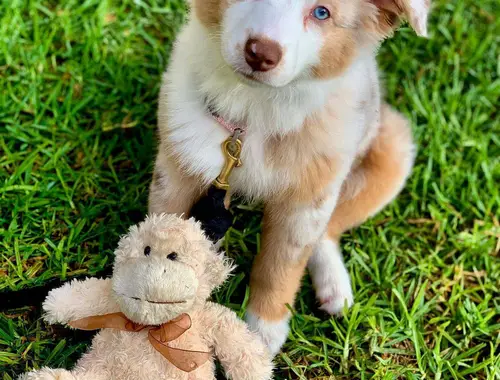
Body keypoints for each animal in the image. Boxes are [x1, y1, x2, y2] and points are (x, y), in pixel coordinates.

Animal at [148, 0, 430, 356]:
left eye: (322, 12)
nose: (260, 54)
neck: (254, 113)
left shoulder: (306, 200)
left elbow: (280, 265)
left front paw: (262, 332)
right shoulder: (177, 166)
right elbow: (157, 237)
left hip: (390, 152)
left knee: (328, 231)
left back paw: (334, 288)